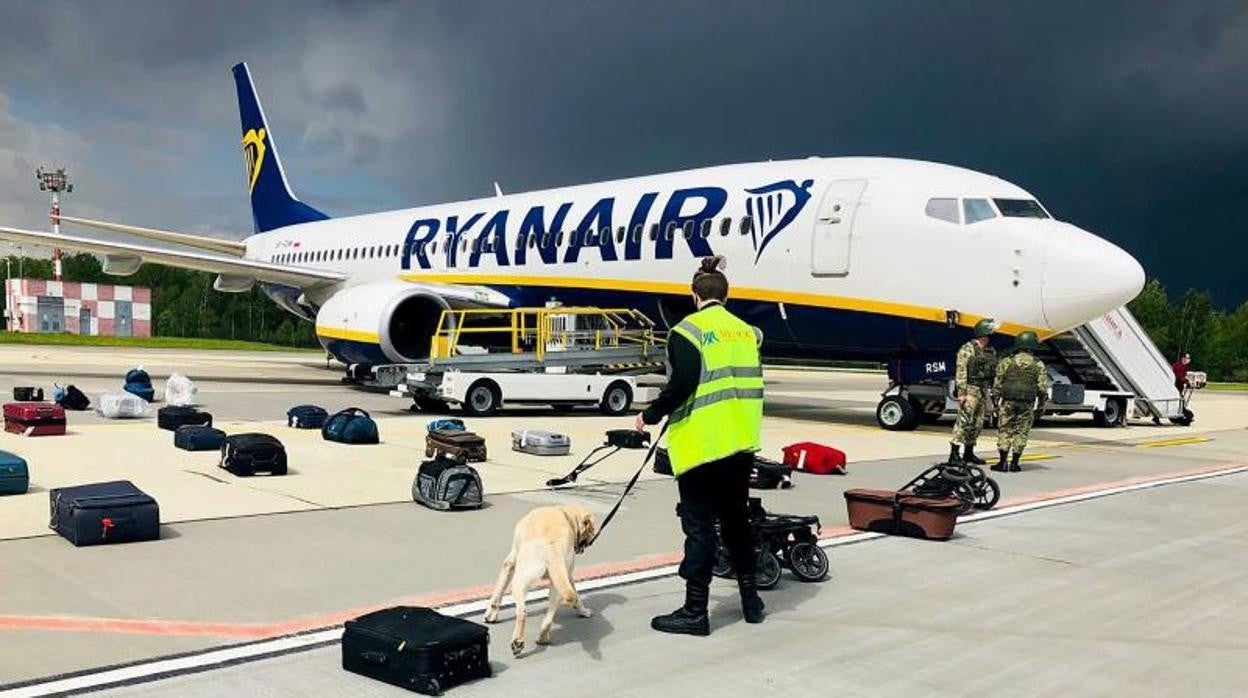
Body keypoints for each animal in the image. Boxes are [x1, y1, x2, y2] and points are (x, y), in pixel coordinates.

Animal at [484, 501, 596, 654]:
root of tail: (552, 548)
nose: (591, 542)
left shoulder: (509, 563)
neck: (565, 514)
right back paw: (543, 638)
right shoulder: (568, 577)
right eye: (591, 531)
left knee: (522, 611)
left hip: (519, 580)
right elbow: (577, 597)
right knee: (548, 618)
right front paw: (583, 611)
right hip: (557, 587)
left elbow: (498, 592)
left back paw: (518, 641)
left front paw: (491, 614)